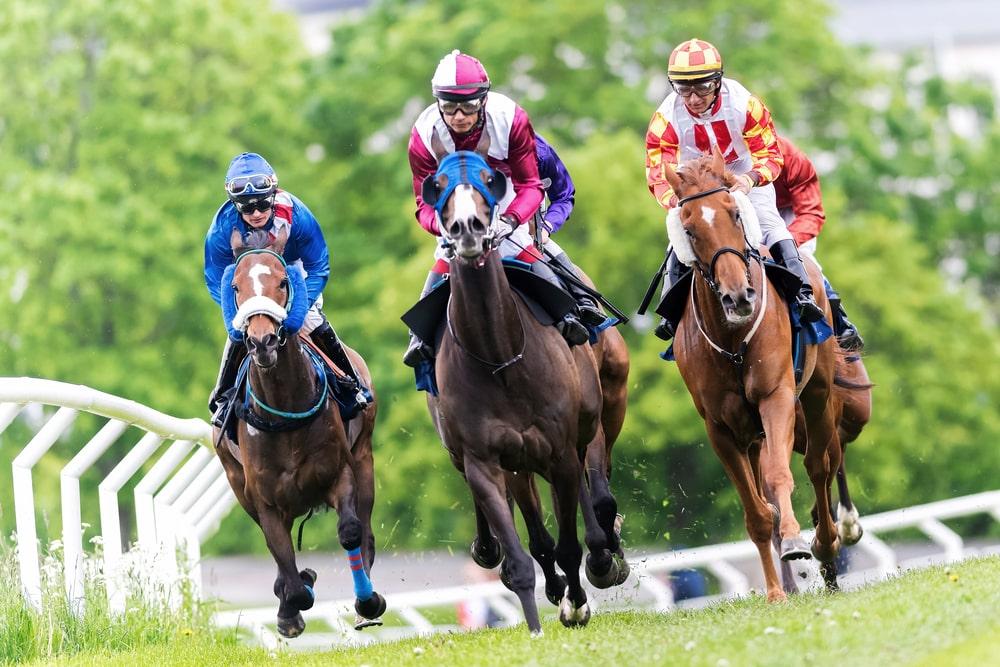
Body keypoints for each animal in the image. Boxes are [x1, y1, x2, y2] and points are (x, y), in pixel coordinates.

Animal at [215, 249, 386, 636]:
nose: (261, 341)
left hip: (364, 457)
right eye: (235, 287)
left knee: (365, 532)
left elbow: (350, 532)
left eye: (282, 282)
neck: (284, 410)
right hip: (238, 484)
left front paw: (367, 601)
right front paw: (293, 603)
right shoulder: (264, 500)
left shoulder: (339, 473)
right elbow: (283, 561)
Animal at [418, 153, 628, 636]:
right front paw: (539, 620)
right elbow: (525, 553)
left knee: (591, 489)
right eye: (437, 188)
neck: (500, 356)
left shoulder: (564, 445)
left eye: (490, 182)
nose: (468, 230)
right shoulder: (488, 458)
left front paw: (580, 596)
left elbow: (577, 530)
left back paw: (603, 554)